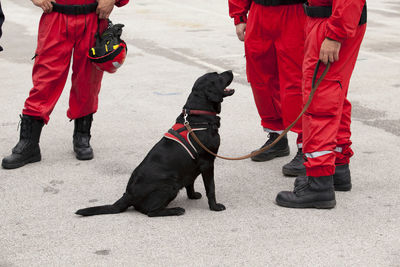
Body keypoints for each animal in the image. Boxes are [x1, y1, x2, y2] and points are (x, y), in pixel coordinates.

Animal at [76, 71, 234, 218]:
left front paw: (193, 195)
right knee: (151, 212)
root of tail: (128, 194)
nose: (230, 71)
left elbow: (190, 183)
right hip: (170, 183)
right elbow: (211, 188)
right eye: (218, 75)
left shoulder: (192, 167)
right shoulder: (207, 163)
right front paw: (214, 206)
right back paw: (175, 210)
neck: (198, 115)